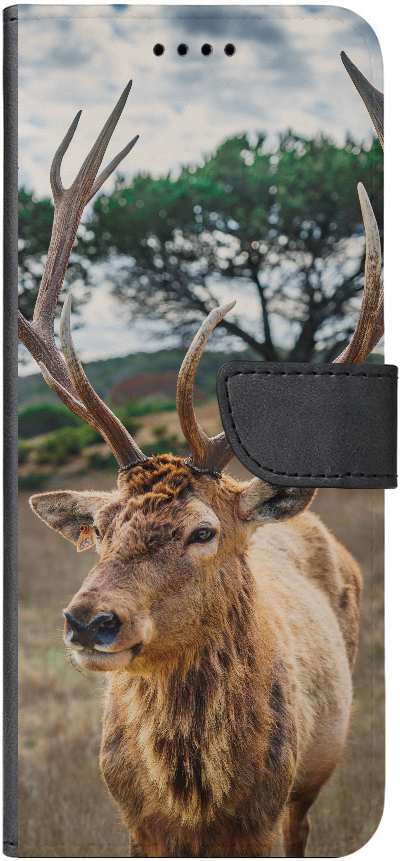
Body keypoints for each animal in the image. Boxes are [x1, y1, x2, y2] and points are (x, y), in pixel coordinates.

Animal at [20, 53, 383, 857]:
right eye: (102, 526)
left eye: (202, 530)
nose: (90, 621)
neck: (197, 805)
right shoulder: (134, 825)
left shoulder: (268, 818)